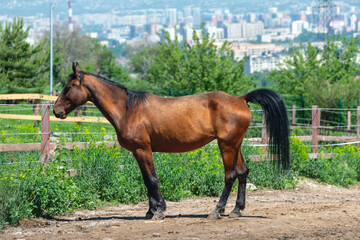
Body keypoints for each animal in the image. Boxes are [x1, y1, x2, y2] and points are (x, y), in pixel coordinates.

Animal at [53, 62, 290, 220]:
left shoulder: (143, 149)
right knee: (242, 172)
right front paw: (150, 211)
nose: (56, 111)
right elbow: (146, 180)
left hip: (226, 146)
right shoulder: (137, 152)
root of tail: (241, 99)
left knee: (230, 175)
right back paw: (236, 210)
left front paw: (159, 210)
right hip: (235, 144)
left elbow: (151, 179)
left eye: (68, 87)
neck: (129, 109)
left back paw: (216, 211)